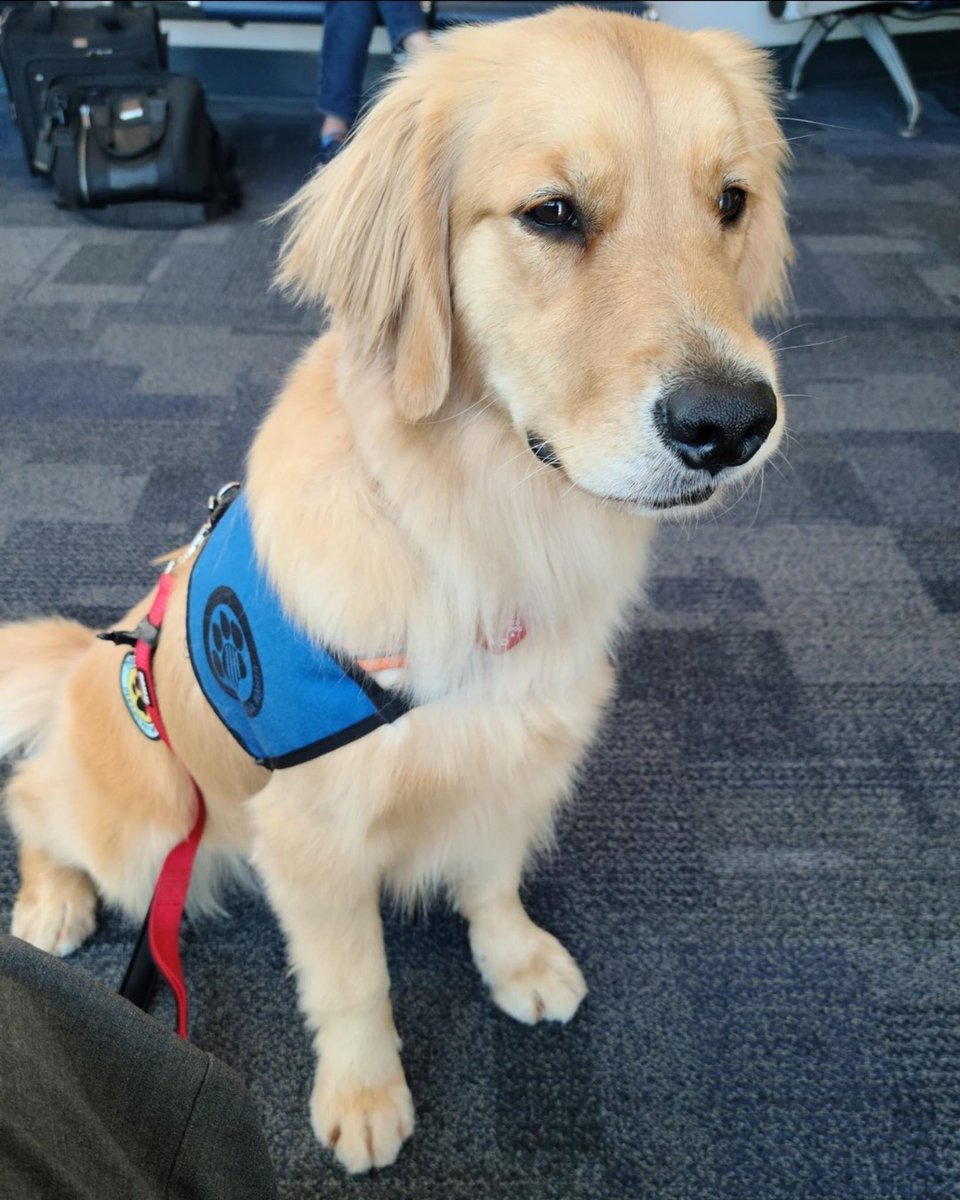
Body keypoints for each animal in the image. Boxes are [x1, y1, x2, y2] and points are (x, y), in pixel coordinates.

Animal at [0, 7, 792, 1171]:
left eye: (730, 202)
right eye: (552, 214)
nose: (733, 424)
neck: (488, 531)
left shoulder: (521, 757)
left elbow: (493, 878)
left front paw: (516, 960)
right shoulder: (314, 839)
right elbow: (355, 981)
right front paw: (367, 1094)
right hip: (141, 824)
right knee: (36, 804)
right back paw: (50, 903)